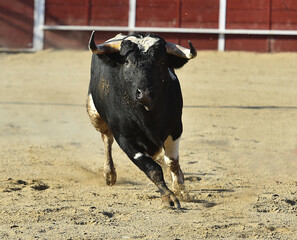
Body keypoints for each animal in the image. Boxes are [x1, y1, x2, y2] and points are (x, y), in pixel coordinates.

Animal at [86, 31, 195, 208]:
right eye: (127, 61)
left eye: (161, 61)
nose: (144, 94)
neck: (148, 116)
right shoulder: (125, 138)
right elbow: (151, 168)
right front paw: (168, 196)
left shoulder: (175, 128)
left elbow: (172, 161)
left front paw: (181, 190)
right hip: (94, 114)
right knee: (107, 139)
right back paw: (109, 174)